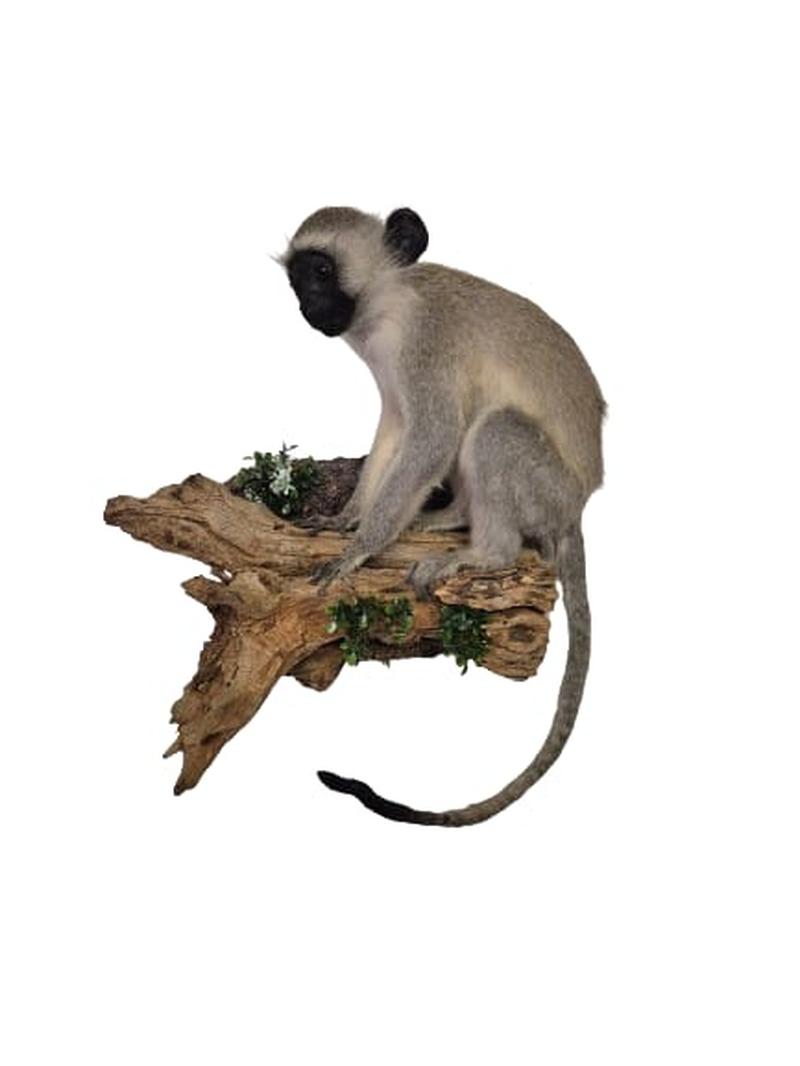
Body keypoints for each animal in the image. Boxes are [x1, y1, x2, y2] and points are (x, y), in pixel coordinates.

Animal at [281, 206, 605, 826]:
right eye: (298, 277)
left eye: (322, 272)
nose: (307, 305)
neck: (392, 307)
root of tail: (578, 506)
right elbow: (395, 427)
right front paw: (347, 519)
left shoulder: (428, 348)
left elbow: (431, 435)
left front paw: (360, 548)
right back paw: (450, 519)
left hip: (546, 490)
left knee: (492, 428)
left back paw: (485, 553)